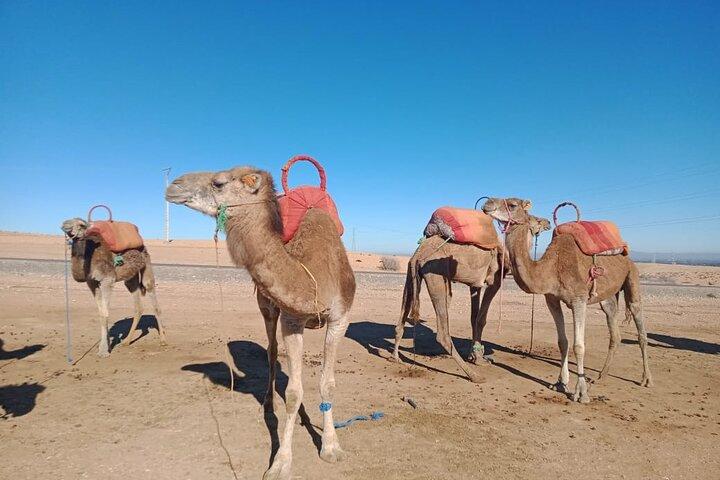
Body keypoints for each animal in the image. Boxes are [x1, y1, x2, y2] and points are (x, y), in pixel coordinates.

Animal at [61, 218, 166, 357]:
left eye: (81, 224)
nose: (66, 226)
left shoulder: (107, 280)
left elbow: (105, 313)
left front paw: (104, 351)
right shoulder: (91, 283)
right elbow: (101, 313)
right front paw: (106, 346)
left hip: (147, 264)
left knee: (152, 295)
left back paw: (163, 340)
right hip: (131, 278)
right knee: (138, 305)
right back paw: (126, 341)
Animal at [165, 166, 355, 480]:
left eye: (218, 182)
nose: (173, 186)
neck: (312, 276)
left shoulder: (340, 319)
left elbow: (327, 385)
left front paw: (331, 448)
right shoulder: (291, 319)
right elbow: (292, 392)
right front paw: (280, 464)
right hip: (266, 307)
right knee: (271, 350)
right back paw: (268, 401)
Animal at [393, 215, 551, 381]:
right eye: (536, 220)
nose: (548, 222)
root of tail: (419, 254)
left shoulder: (474, 285)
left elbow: (474, 317)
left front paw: (475, 357)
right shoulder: (494, 281)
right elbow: (482, 319)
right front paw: (479, 360)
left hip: (411, 273)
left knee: (403, 314)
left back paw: (396, 357)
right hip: (436, 275)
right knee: (442, 333)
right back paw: (474, 375)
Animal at [481, 198, 652, 403]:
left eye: (513, 204)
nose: (487, 204)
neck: (551, 268)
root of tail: (626, 255)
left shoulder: (579, 300)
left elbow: (579, 346)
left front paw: (581, 393)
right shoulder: (552, 300)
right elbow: (563, 342)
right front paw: (560, 382)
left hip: (632, 276)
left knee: (639, 322)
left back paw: (646, 379)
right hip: (608, 296)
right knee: (614, 327)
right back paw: (601, 376)